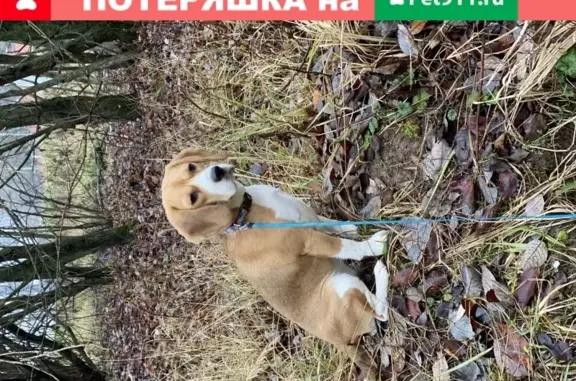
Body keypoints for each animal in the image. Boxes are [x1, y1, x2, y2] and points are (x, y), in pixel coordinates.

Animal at [160, 147, 390, 378]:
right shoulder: (310, 240)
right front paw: (371, 245)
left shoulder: (309, 218)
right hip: (343, 286)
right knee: (381, 312)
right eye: (193, 197)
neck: (245, 213)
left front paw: (349, 228)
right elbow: (346, 246)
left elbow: (330, 224)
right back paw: (380, 271)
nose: (217, 172)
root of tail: (341, 342)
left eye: (191, 167)